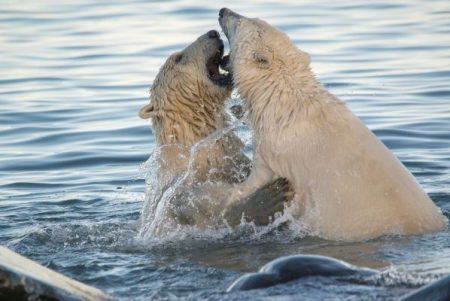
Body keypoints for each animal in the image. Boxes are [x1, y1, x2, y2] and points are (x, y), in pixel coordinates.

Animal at [218, 8, 446, 240]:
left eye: (240, 22)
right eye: (250, 18)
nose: (223, 11)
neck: (287, 103)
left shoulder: (277, 148)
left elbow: (252, 182)